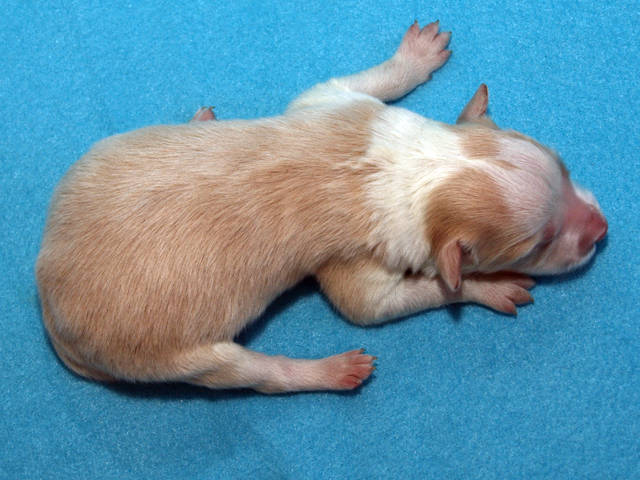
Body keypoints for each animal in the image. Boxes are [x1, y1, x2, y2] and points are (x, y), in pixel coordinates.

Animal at [36, 20, 607, 393]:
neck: (420, 168)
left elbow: (352, 83)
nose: (602, 229)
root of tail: (46, 304)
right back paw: (330, 371)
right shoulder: (358, 263)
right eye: (538, 245)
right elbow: (376, 305)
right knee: (254, 376)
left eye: (565, 168)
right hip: (183, 357)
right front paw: (490, 286)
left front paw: (416, 56)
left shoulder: (336, 104)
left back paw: (197, 124)